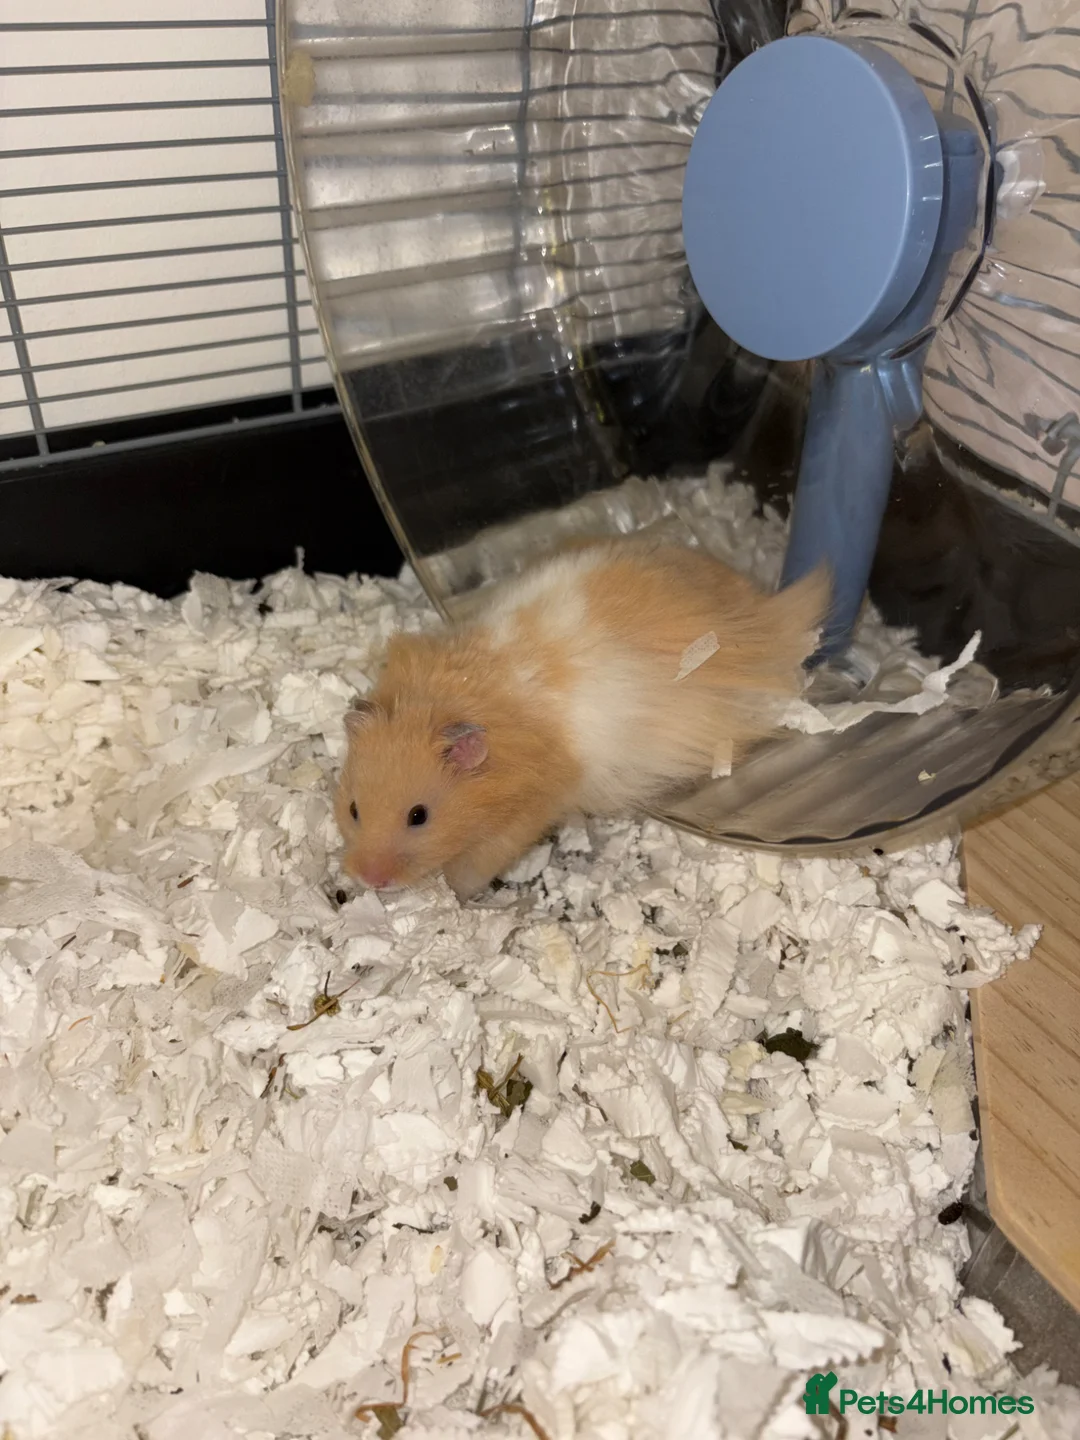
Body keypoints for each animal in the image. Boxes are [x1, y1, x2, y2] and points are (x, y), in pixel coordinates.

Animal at [335, 536, 828, 900]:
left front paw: (459, 894)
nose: (368, 879)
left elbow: (477, 865)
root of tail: (762, 603)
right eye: (354, 809)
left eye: (419, 816)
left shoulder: (527, 815)